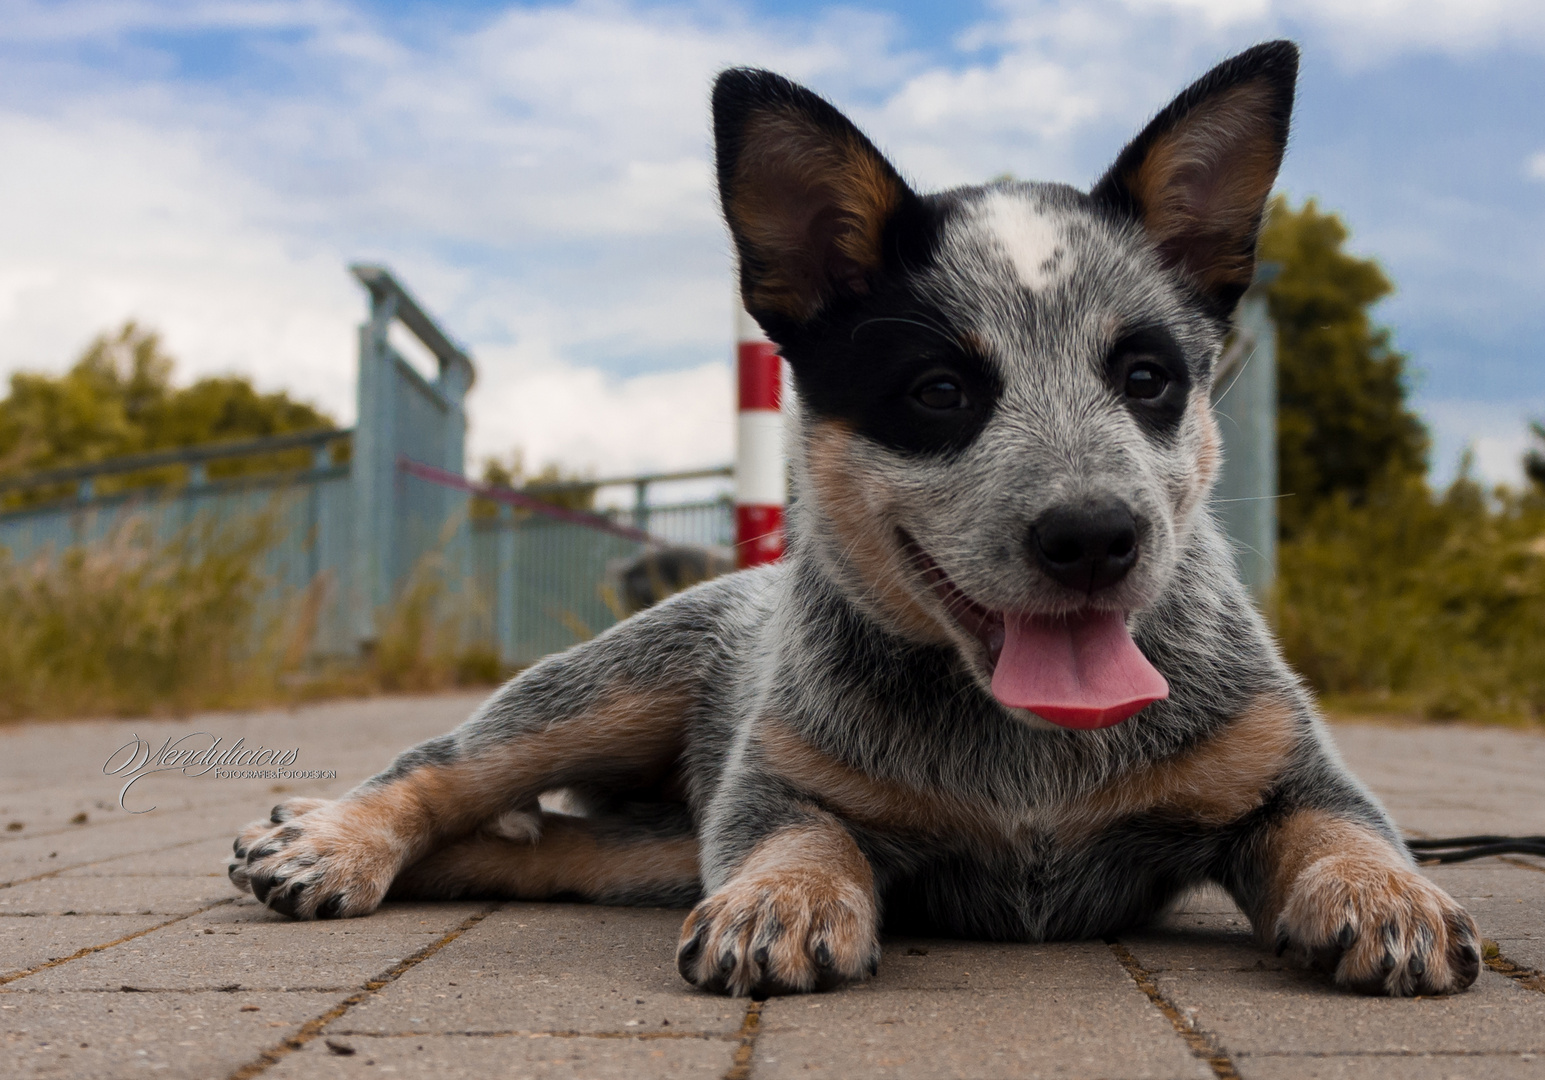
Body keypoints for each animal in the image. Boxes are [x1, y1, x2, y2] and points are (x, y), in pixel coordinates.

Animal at [228, 44, 1483, 1007]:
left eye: (1148, 378)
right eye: (938, 391)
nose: (1095, 535)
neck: (1029, 754)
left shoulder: (1289, 769)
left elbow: (1345, 827)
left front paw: (1394, 896)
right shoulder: (773, 784)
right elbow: (805, 833)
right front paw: (781, 902)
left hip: (644, 835)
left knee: (549, 848)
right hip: (598, 695)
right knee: (443, 766)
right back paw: (324, 837)